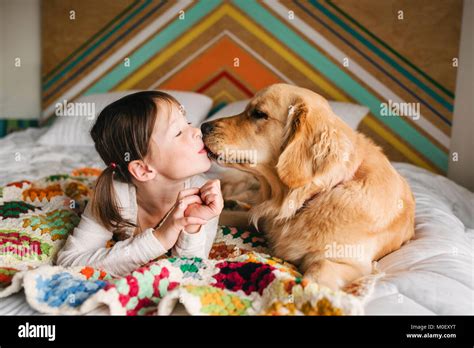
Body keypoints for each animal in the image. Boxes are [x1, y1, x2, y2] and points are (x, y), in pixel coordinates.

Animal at [201, 83, 414, 290]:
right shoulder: (265, 218)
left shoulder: (354, 264)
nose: (203, 126)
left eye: (259, 114)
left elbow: (319, 268)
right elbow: (227, 215)